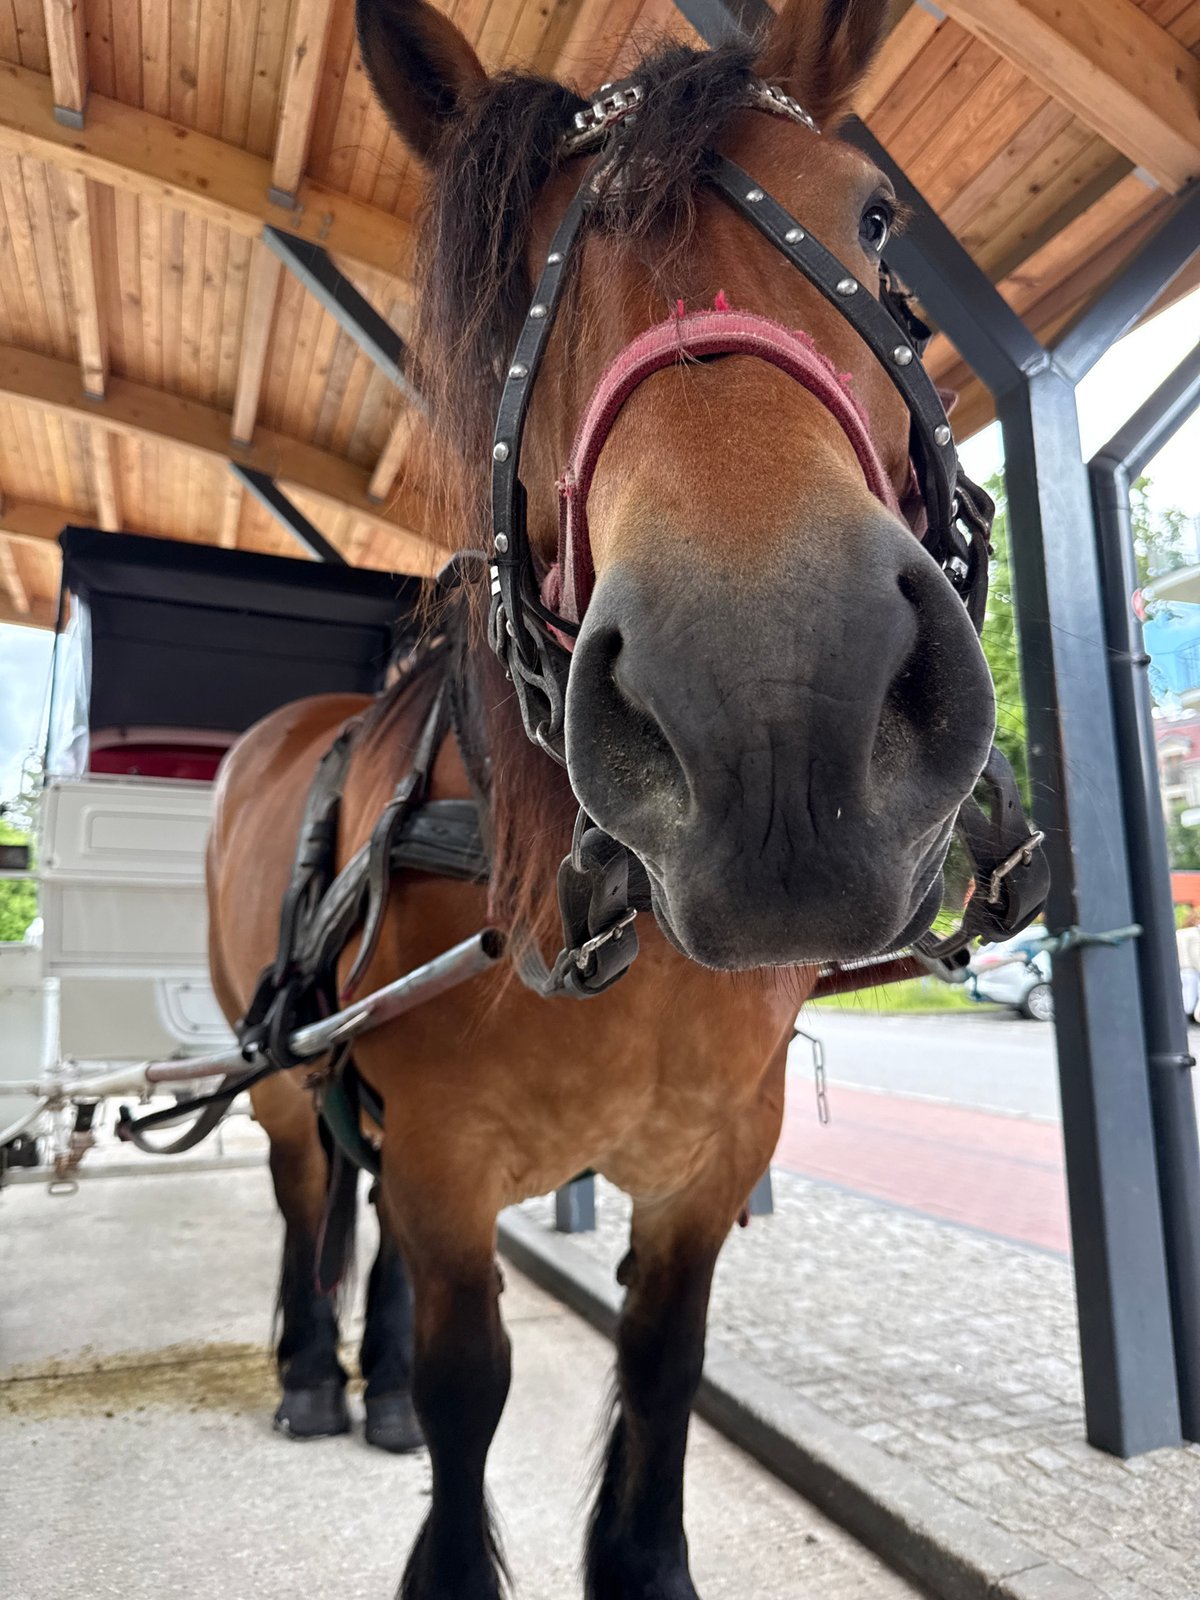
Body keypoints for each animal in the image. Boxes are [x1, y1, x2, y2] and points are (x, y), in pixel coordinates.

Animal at [206, 0, 1009, 1592]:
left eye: (874, 220)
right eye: (518, 282)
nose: (776, 714)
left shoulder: (710, 1161)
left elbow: (661, 1367)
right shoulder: (447, 1163)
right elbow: (474, 1386)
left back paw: (371, 1387)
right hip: (279, 1074)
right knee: (307, 1191)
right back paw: (319, 1374)